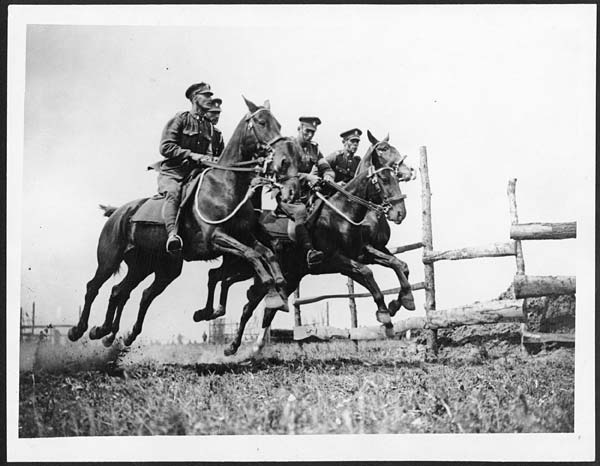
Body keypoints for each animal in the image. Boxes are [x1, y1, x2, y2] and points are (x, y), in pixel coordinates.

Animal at [67, 97, 300, 346]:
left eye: (279, 124)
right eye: (261, 122)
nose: (283, 159)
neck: (226, 186)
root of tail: (118, 212)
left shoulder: (243, 236)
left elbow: (266, 253)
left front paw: (278, 288)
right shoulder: (216, 238)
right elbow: (252, 255)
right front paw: (269, 288)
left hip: (153, 267)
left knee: (126, 292)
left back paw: (107, 332)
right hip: (109, 260)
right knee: (94, 287)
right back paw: (79, 330)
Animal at [196, 139, 408, 356]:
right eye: (384, 178)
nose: (400, 212)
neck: (340, 215)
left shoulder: (359, 255)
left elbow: (397, 264)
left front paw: (401, 302)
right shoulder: (336, 260)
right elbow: (368, 273)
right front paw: (386, 315)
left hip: (273, 276)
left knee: (249, 300)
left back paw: (234, 341)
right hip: (243, 266)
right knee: (220, 278)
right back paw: (217, 319)